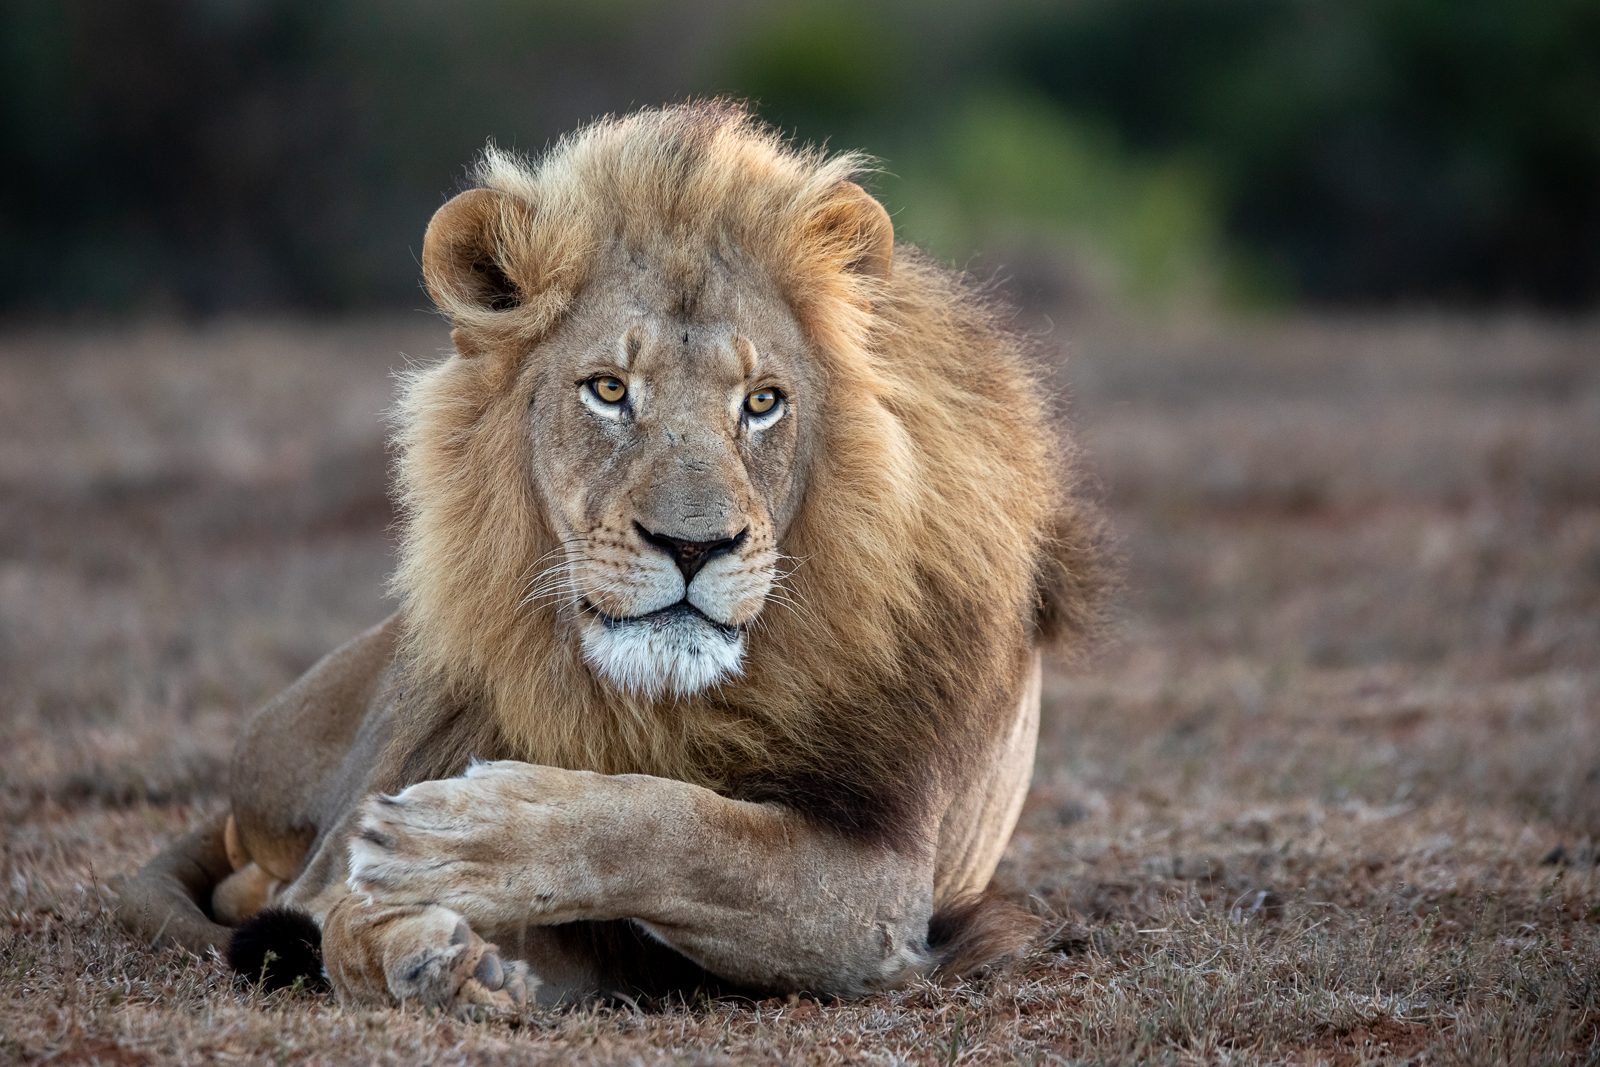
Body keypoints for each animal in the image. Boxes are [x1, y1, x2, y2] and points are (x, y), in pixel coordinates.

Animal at [112, 101, 1110, 1013]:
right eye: (608, 390)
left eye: (762, 401)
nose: (695, 544)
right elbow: (343, 918)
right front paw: (430, 951)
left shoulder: (883, 892)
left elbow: (680, 827)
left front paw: (463, 840)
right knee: (282, 886)